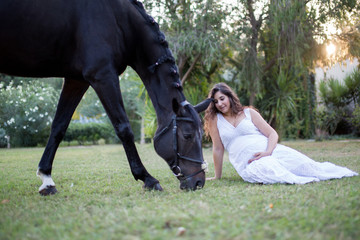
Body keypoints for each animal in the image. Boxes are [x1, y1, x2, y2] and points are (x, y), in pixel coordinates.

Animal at [0, 0, 211, 195]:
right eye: (187, 135)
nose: (198, 182)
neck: (119, 19)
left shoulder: (76, 80)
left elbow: (59, 127)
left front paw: (47, 179)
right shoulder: (103, 76)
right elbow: (124, 128)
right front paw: (147, 178)